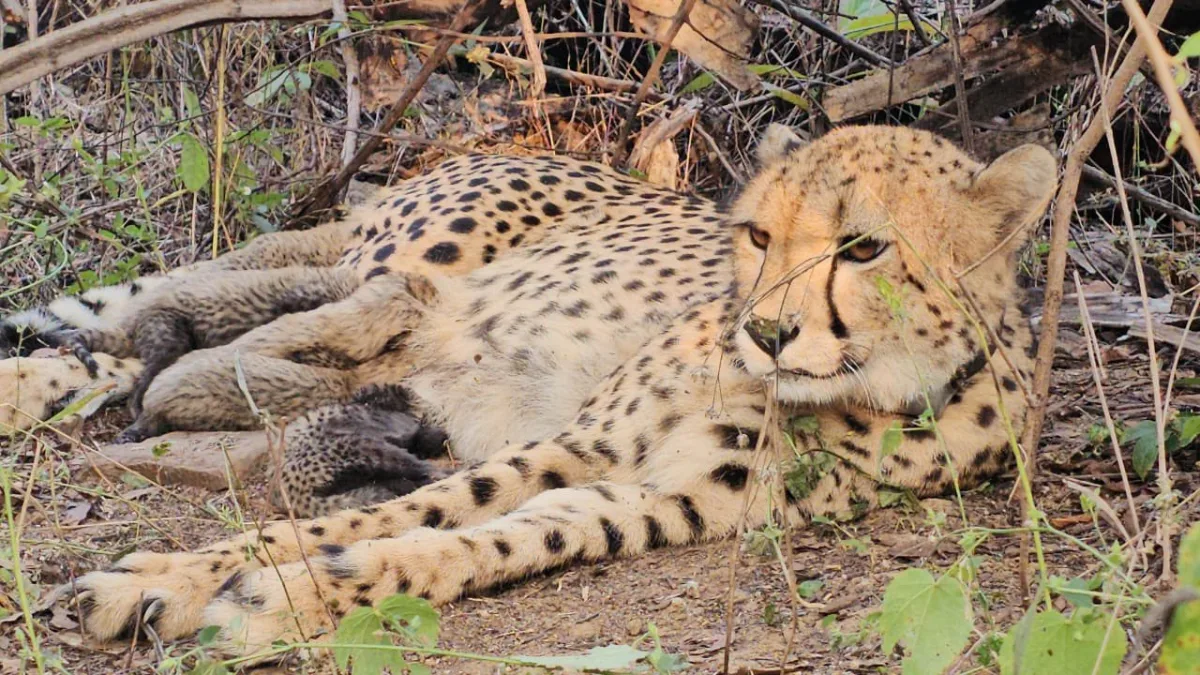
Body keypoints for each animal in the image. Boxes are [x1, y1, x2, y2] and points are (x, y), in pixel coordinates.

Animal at [28, 124, 1055, 658]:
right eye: (760, 235)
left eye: (864, 246)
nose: (764, 331)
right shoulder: (583, 440)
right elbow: (390, 511)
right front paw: (172, 576)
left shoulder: (663, 498)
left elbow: (490, 538)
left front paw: (293, 596)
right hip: (405, 258)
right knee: (149, 322)